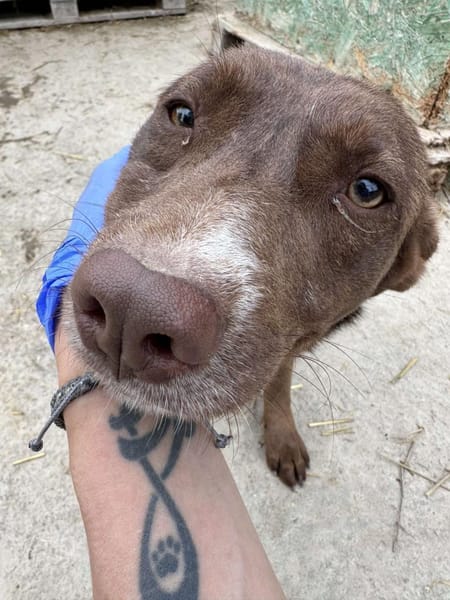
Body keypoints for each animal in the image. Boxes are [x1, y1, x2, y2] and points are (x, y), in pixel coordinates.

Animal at [62, 45, 438, 487]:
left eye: (367, 191)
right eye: (182, 114)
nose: (132, 305)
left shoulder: (289, 346)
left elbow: (279, 380)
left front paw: (282, 435)